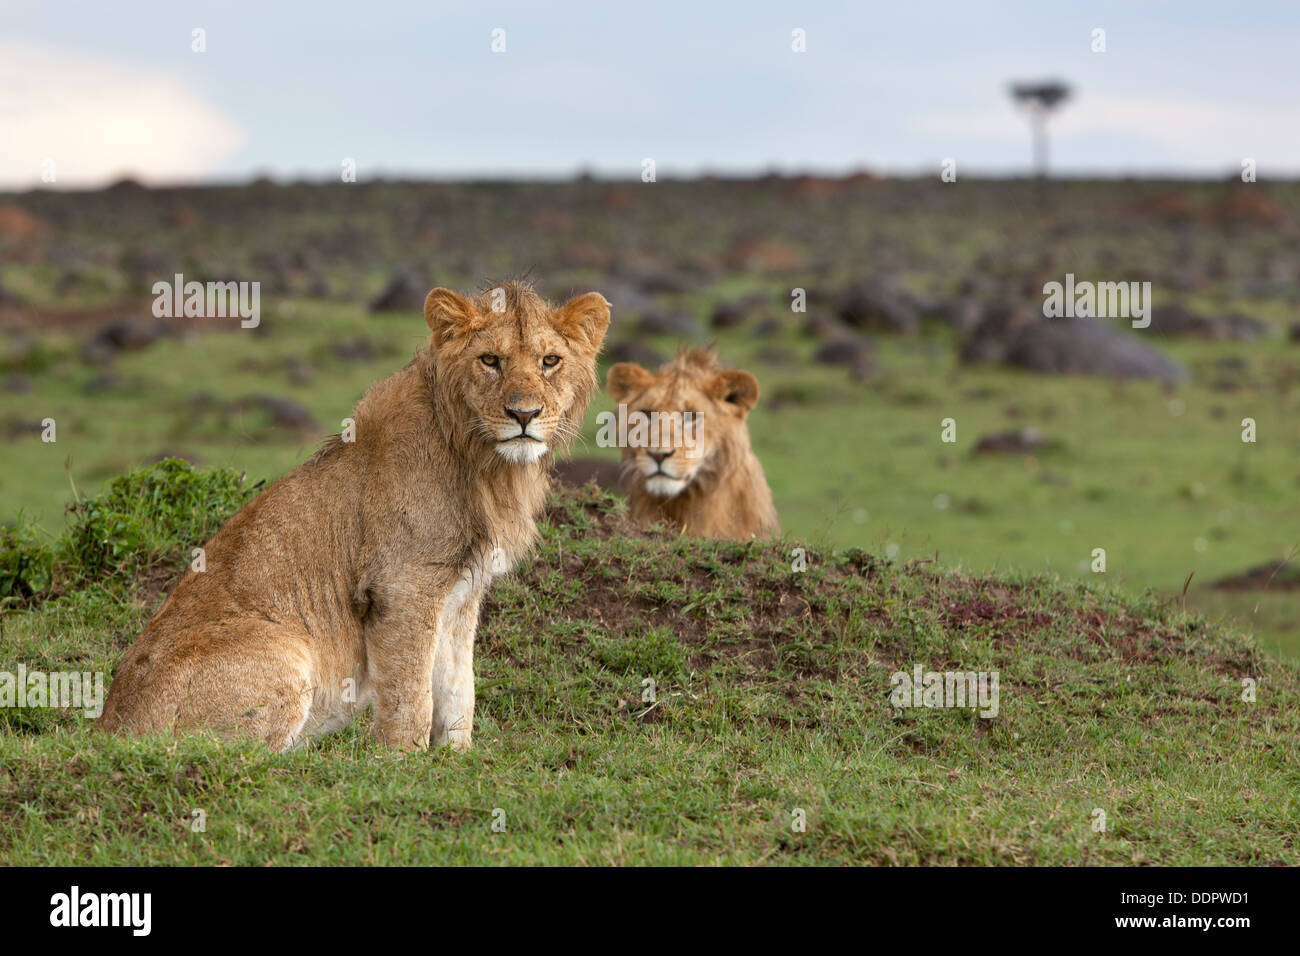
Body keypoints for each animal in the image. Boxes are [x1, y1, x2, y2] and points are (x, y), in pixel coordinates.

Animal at [100, 281, 610, 752]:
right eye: (490, 360)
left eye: (550, 361)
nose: (524, 414)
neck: (486, 463)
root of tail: (109, 725)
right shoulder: (403, 587)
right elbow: (411, 695)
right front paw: (402, 762)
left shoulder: (463, 593)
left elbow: (458, 688)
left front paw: (458, 758)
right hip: (285, 649)